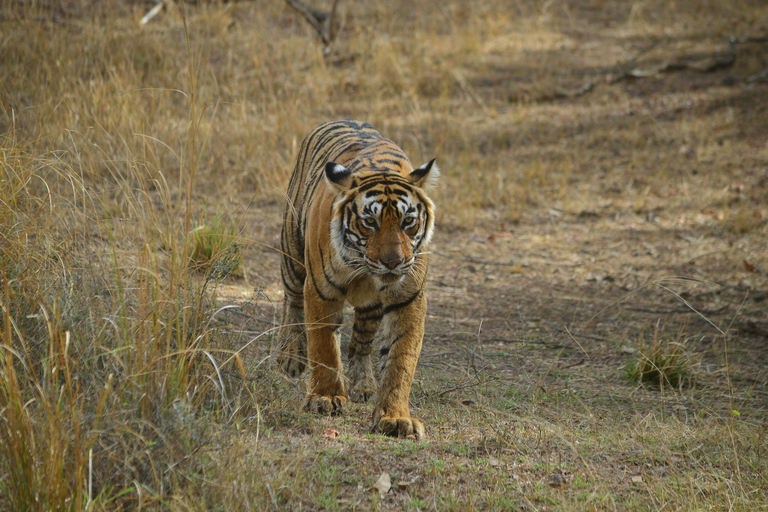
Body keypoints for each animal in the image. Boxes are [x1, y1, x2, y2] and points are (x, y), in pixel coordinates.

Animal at [278, 118, 438, 438]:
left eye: (408, 222)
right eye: (369, 222)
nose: (393, 262)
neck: (365, 270)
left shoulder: (408, 298)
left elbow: (401, 359)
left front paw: (395, 417)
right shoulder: (320, 290)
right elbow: (324, 346)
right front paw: (325, 398)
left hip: (371, 307)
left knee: (360, 344)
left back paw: (364, 385)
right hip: (292, 257)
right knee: (292, 304)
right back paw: (291, 357)